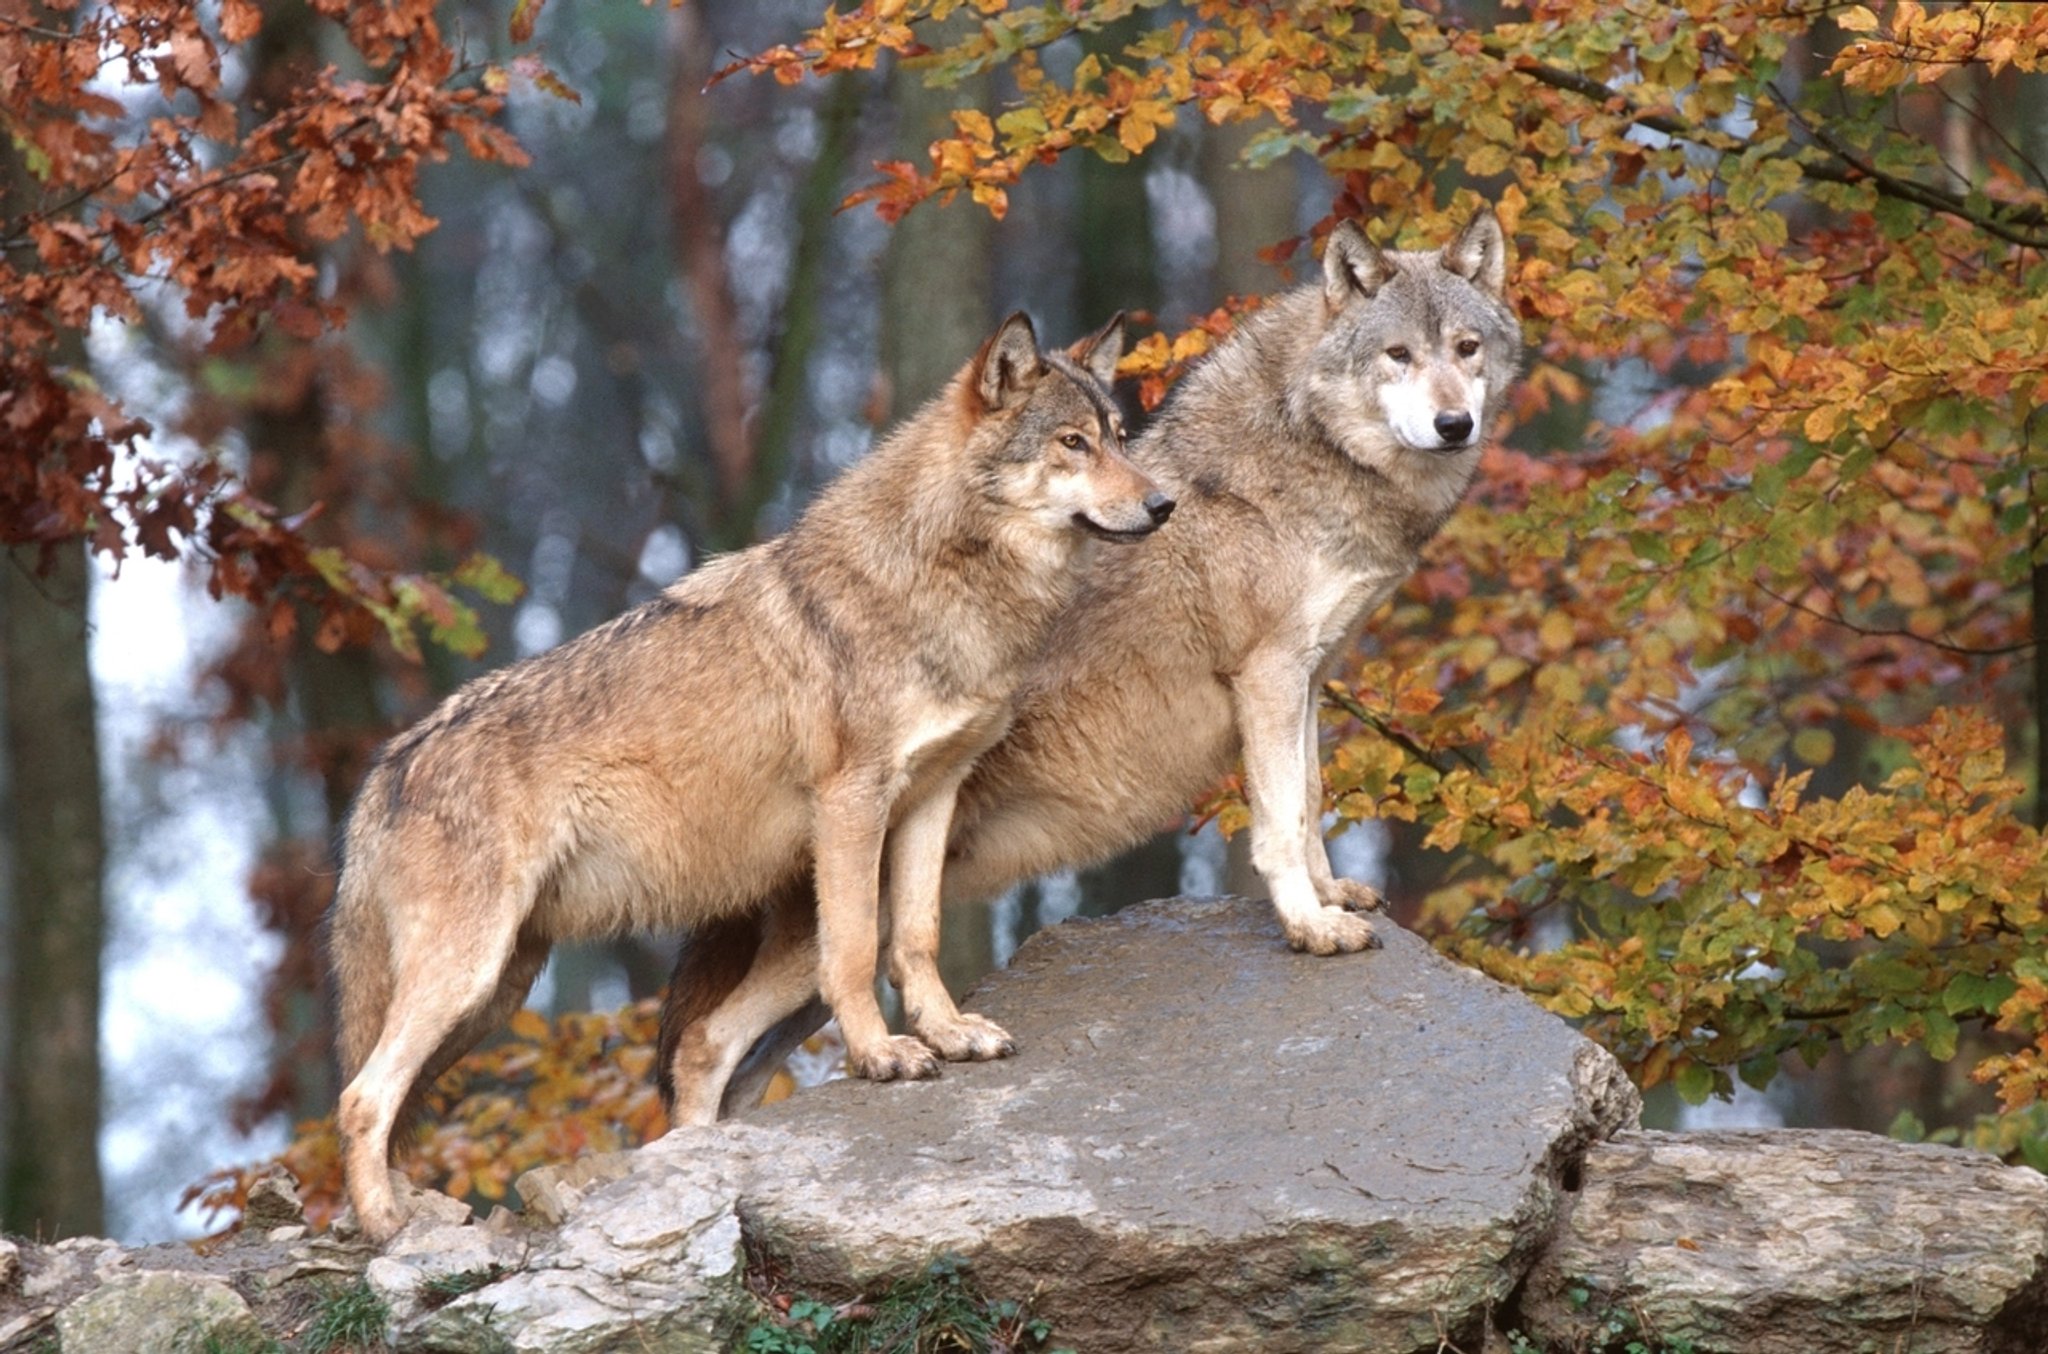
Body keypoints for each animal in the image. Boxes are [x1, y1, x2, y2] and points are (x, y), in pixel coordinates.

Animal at [329, 311, 1179, 1237]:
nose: (1164, 504)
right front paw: (880, 1054)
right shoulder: (851, 802)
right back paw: (384, 1225)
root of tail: (385, 770)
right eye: (1072, 443)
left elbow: (914, 938)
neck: (942, 577)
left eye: (1120, 436)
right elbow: (855, 949)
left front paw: (950, 1034)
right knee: (361, 1096)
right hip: (471, 977)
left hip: (496, 991)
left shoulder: (932, 797)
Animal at [655, 208, 1523, 1122]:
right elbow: (1282, 823)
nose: (1455, 425)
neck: (1302, 456)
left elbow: (1312, 800)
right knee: (705, 1042)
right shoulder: (1270, 674)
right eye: (1398, 354)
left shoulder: (1311, 679)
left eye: (1466, 348)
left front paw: (1332, 897)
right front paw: (1310, 926)